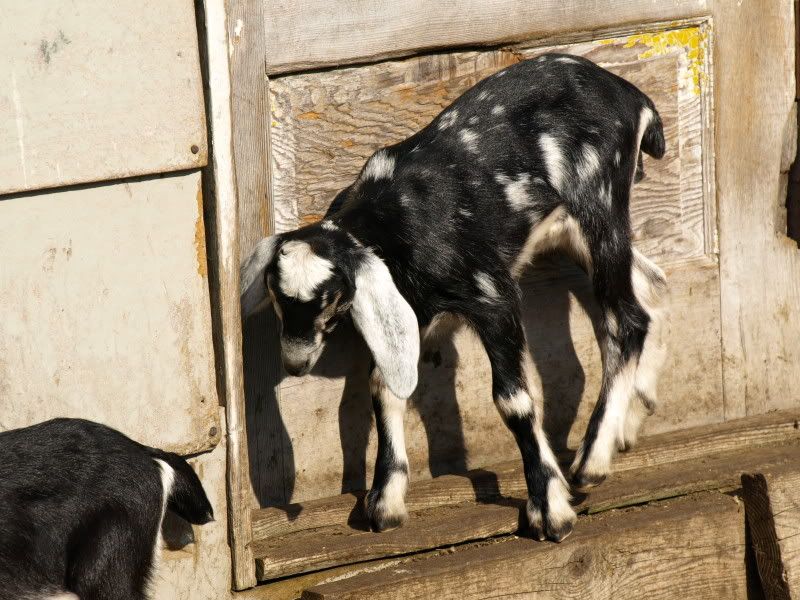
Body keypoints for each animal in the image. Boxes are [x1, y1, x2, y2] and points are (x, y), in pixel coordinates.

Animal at [241, 53, 668, 542]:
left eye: (329, 299)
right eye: (277, 296)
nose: (295, 363)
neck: (398, 218)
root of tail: (633, 97)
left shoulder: (493, 296)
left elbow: (514, 401)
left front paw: (549, 508)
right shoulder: (413, 309)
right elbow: (384, 384)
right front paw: (385, 500)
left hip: (599, 209)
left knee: (624, 321)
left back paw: (593, 459)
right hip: (572, 232)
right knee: (651, 287)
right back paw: (630, 420)